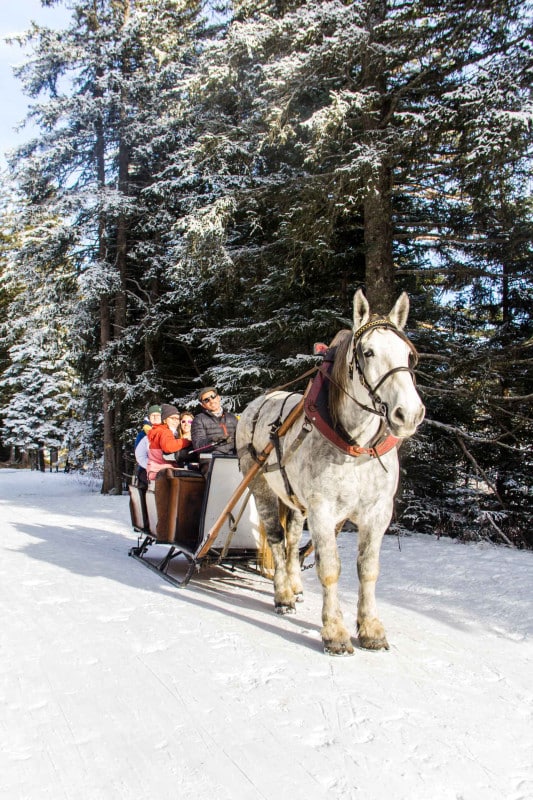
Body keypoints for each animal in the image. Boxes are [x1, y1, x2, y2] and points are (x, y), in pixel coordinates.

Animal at [236, 289, 425, 655]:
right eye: (368, 352)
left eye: (409, 355)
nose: (408, 414)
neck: (357, 448)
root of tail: (257, 403)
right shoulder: (323, 509)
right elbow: (330, 568)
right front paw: (335, 632)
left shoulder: (377, 512)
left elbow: (368, 569)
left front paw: (371, 628)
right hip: (261, 486)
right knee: (278, 540)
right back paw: (282, 594)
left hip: (294, 499)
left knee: (293, 540)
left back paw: (294, 585)